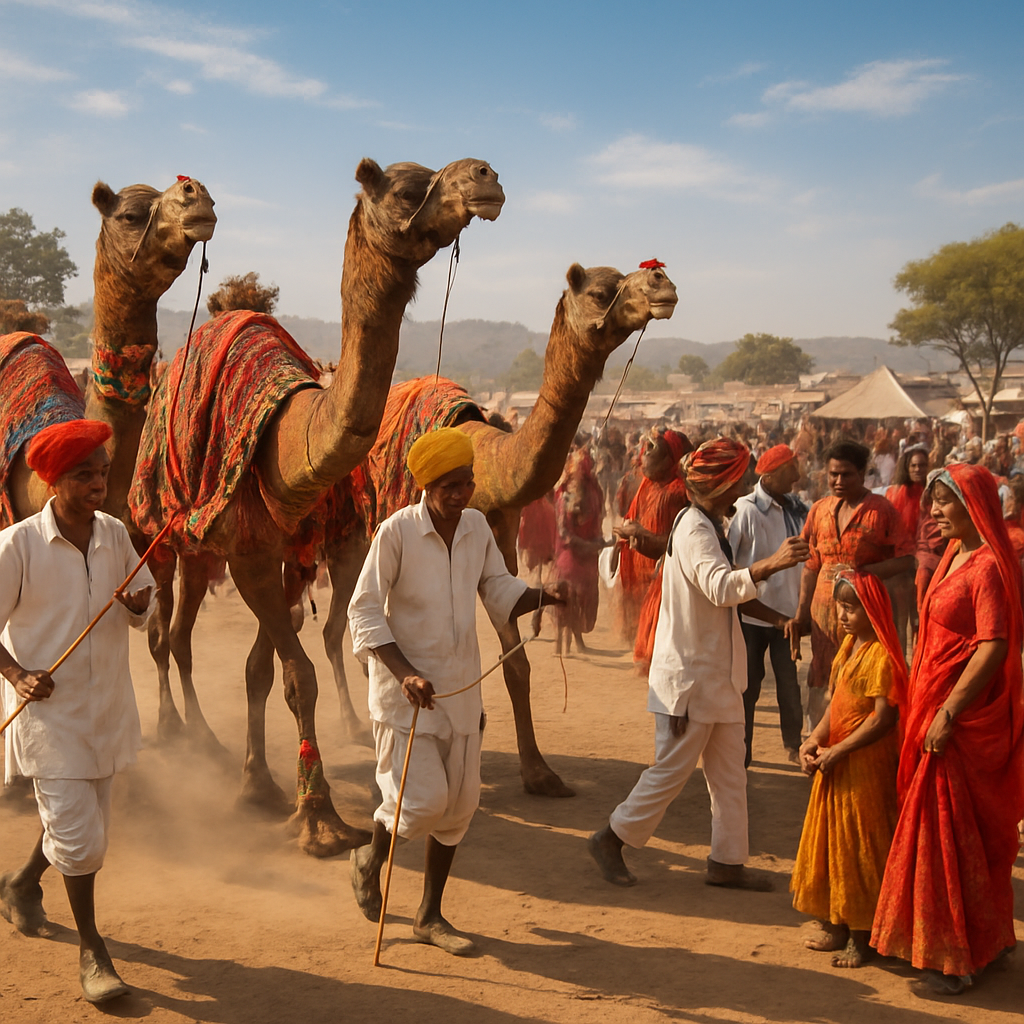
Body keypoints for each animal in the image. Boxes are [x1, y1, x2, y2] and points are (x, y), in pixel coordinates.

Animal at [129, 158, 505, 856]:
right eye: (407, 188)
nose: (485, 176)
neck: (287, 449)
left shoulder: (290, 554)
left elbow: (264, 669)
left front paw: (261, 785)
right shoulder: (248, 553)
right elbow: (297, 672)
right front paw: (318, 819)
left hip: (209, 554)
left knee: (191, 636)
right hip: (163, 536)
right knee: (165, 631)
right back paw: (183, 738)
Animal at [323, 262, 678, 797]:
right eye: (601, 291)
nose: (662, 284)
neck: (487, 467)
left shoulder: (503, 541)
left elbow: (517, 660)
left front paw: (539, 772)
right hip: (348, 539)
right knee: (340, 628)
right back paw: (352, 727)